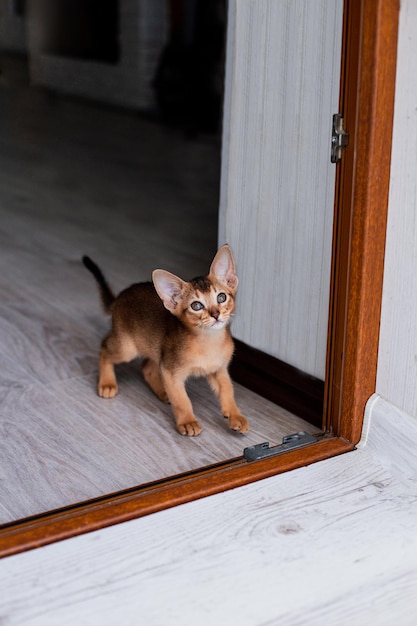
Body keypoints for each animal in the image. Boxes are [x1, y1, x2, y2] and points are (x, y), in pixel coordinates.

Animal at [83, 244, 249, 434]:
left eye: (221, 297)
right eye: (196, 305)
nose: (215, 314)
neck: (209, 342)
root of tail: (119, 297)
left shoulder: (219, 370)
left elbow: (228, 391)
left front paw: (235, 416)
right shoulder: (171, 372)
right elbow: (181, 400)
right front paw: (187, 421)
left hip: (156, 348)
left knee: (146, 366)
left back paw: (162, 392)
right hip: (127, 348)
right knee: (104, 347)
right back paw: (107, 383)